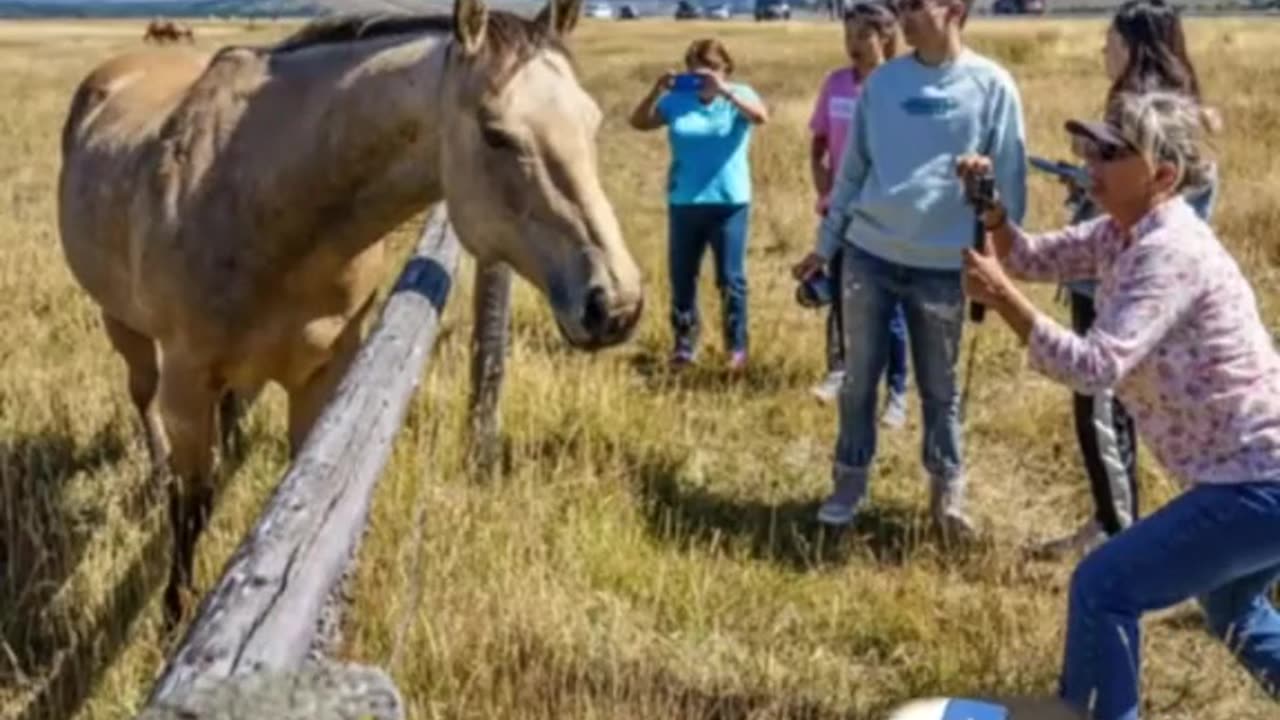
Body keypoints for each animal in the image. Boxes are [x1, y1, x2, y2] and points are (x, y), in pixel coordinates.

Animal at [57, 0, 640, 622]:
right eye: (496, 134)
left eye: (592, 121)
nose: (616, 304)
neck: (263, 198)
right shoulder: (187, 384)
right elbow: (192, 503)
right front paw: (175, 609)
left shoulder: (323, 374)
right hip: (125, 328)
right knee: (143, 400)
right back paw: (156, 471)